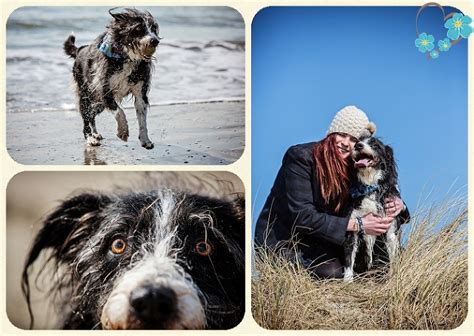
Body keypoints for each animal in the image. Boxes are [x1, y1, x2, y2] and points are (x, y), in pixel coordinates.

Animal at [63, 7, 161, 149]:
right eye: (138, 28)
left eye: (153, 29)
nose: (155, 40)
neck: (127, 58)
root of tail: (80, 50)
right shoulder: (104, 90)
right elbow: (119, 111)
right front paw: (123, 131)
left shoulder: (140, 92)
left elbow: (142, 118)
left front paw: (145, 140)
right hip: (86, 94)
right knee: (86, 117)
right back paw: (90, 138)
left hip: (98, 103)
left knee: (91, 116)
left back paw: (95, 134)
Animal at [342, 136, 402, 280]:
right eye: (357, 141)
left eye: (375, 144)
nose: (358, 146)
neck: (369, 187)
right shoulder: (352, 229)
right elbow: (348, 262)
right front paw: (347, 282)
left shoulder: (391, 229)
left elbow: (393, 257)